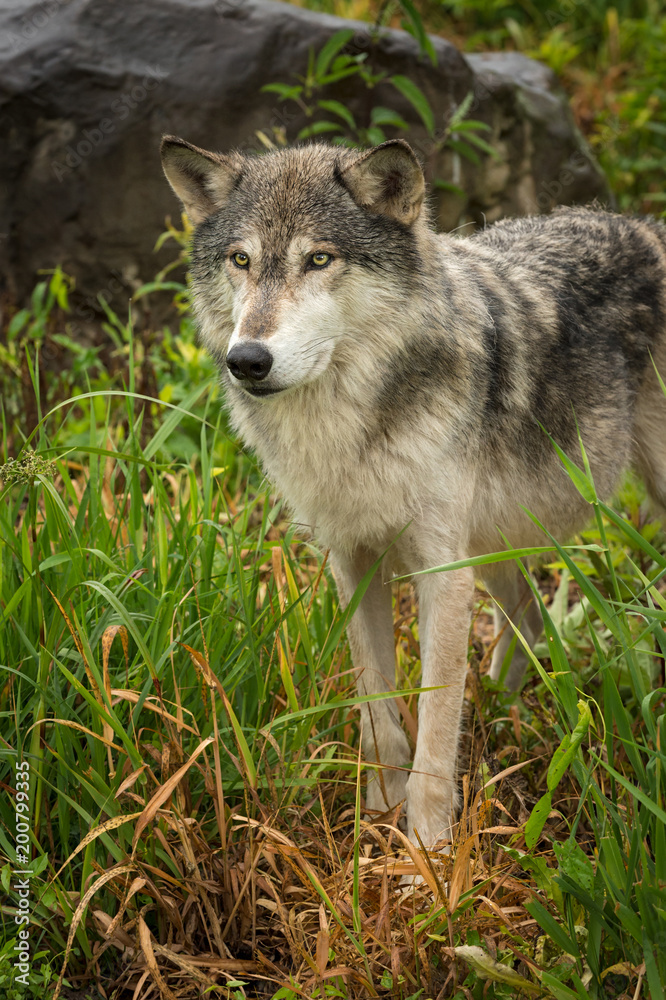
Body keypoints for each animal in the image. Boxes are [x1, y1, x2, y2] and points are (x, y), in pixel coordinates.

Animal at [161, 135, 666, 849]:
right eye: (242, 260)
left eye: (319, 259)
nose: (247, 360)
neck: (349, 431)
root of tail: (646, 226)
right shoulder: (352, 565)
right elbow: (378, 710)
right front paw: (377, 814)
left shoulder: (441, 573)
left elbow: (435, 721)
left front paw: (427, 849)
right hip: (495, 543)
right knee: (529, 615)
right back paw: (501, 716)